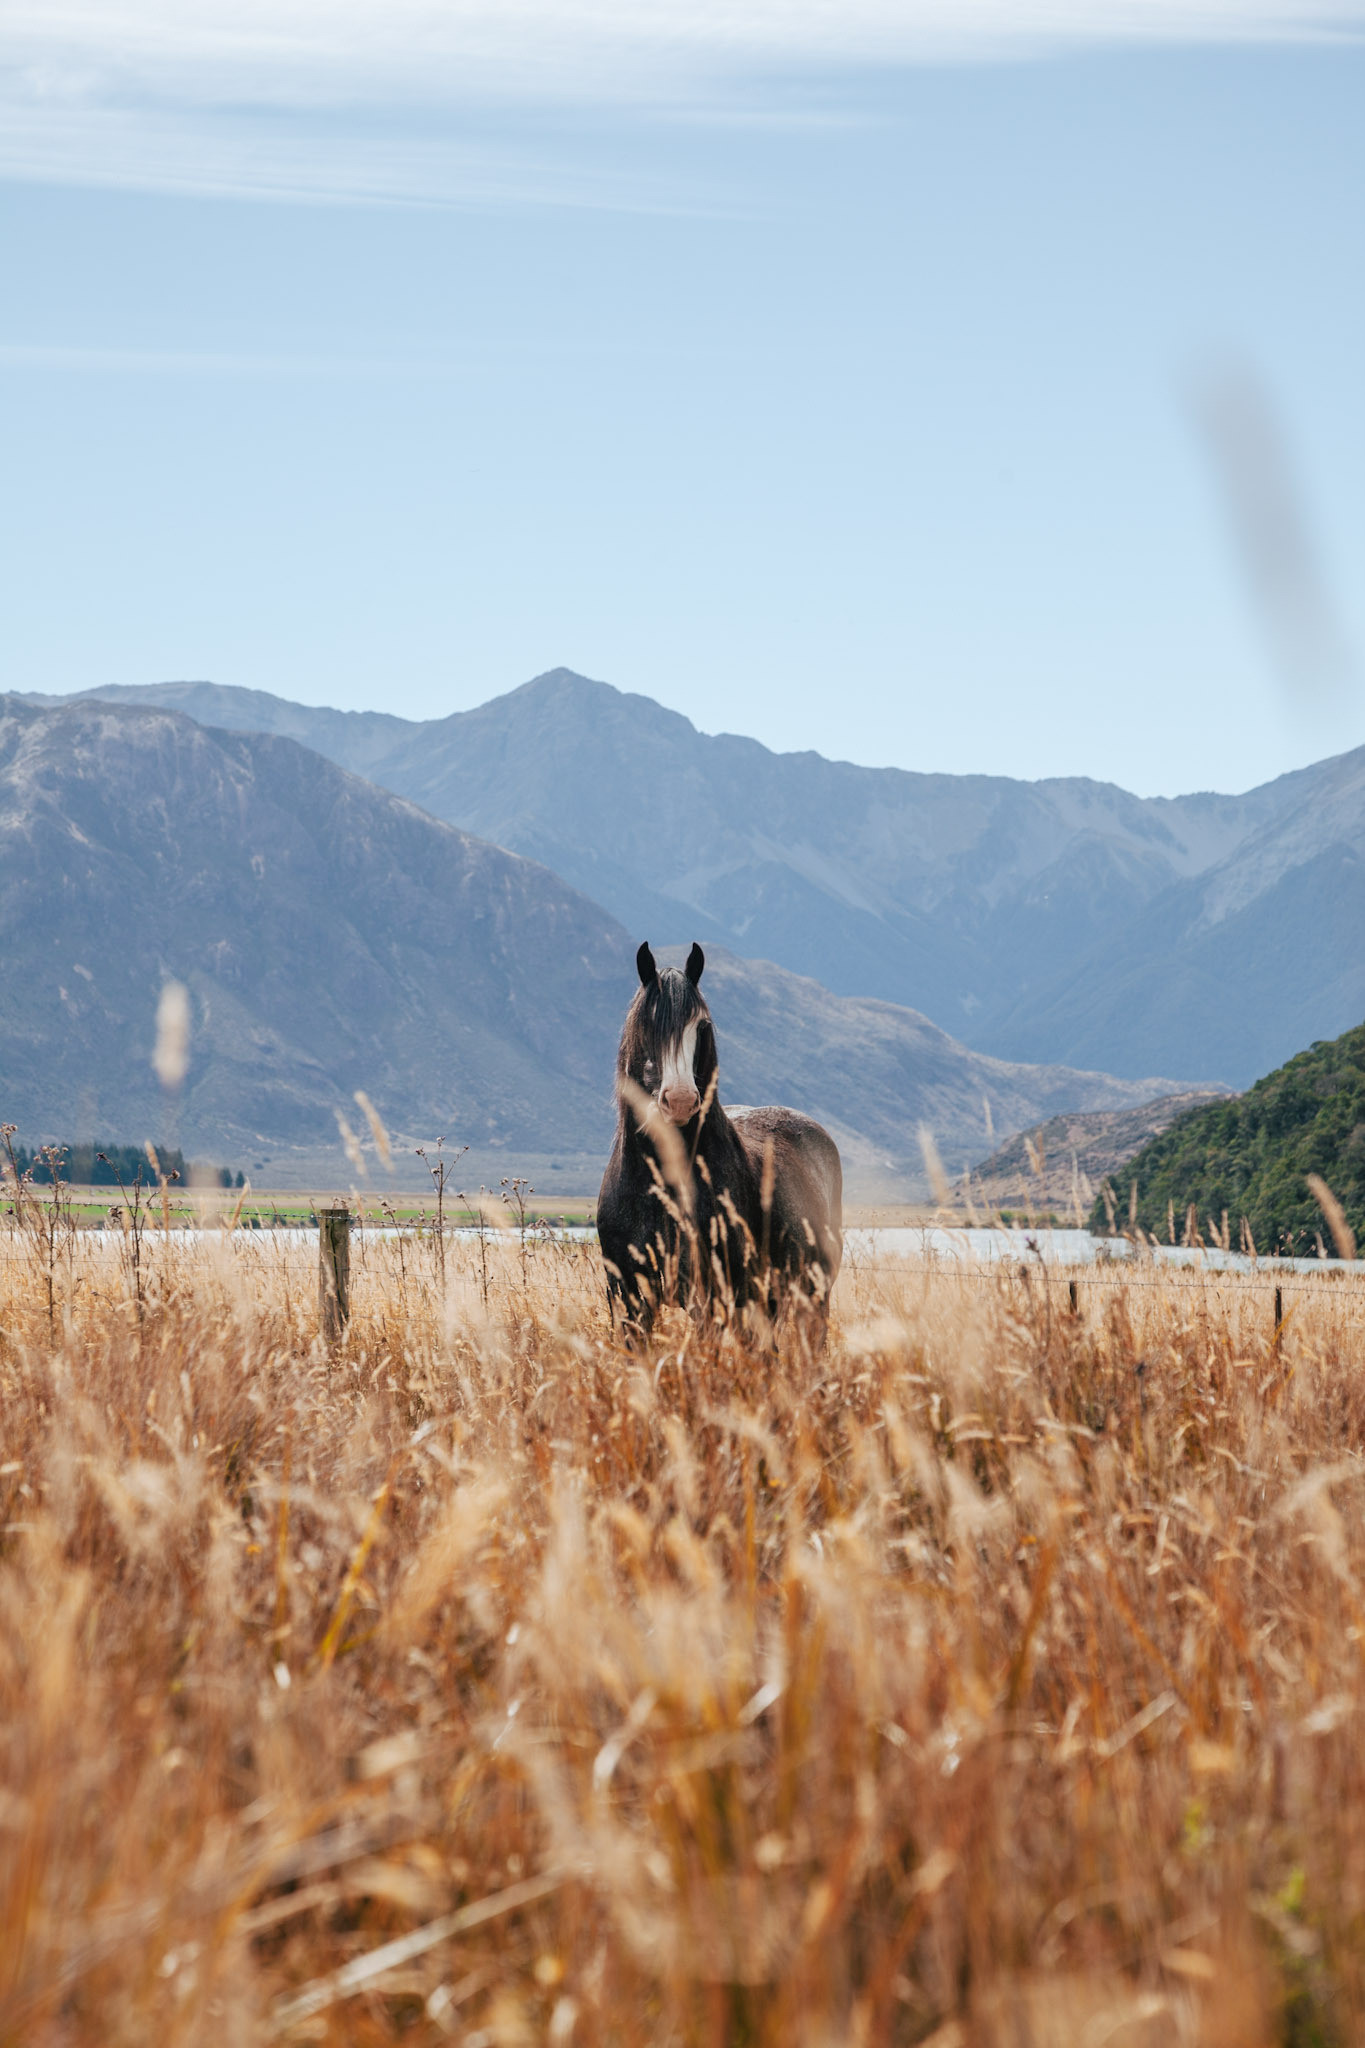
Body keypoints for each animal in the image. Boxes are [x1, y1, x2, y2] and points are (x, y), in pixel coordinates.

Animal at [597, 941, 843, 1343]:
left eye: (702, 1026)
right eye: (647, 1022)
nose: (681, 1100)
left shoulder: (710, 1300)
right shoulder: (629, 1298)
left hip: (810, 1292)